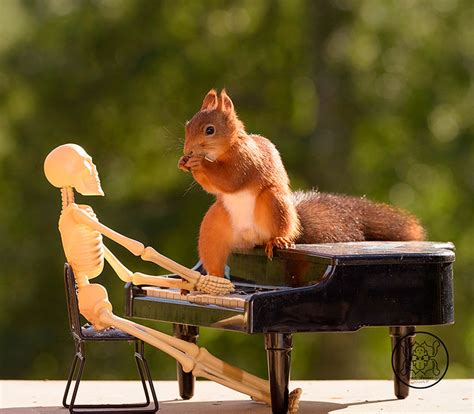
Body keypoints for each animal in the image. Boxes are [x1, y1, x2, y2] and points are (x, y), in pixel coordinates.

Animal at [179, 91, 426, 278]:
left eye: (209, 130)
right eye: (187, 125)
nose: (187, 151)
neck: (223, 151)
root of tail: (250, 238)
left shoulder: (248, 160)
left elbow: (230, 179)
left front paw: (199, 163)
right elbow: (216, 186)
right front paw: (185, 163)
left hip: (274, 203)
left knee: (281, 229)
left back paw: (278, 240)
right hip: (214, 225)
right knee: (213, 253)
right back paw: (212, 280)